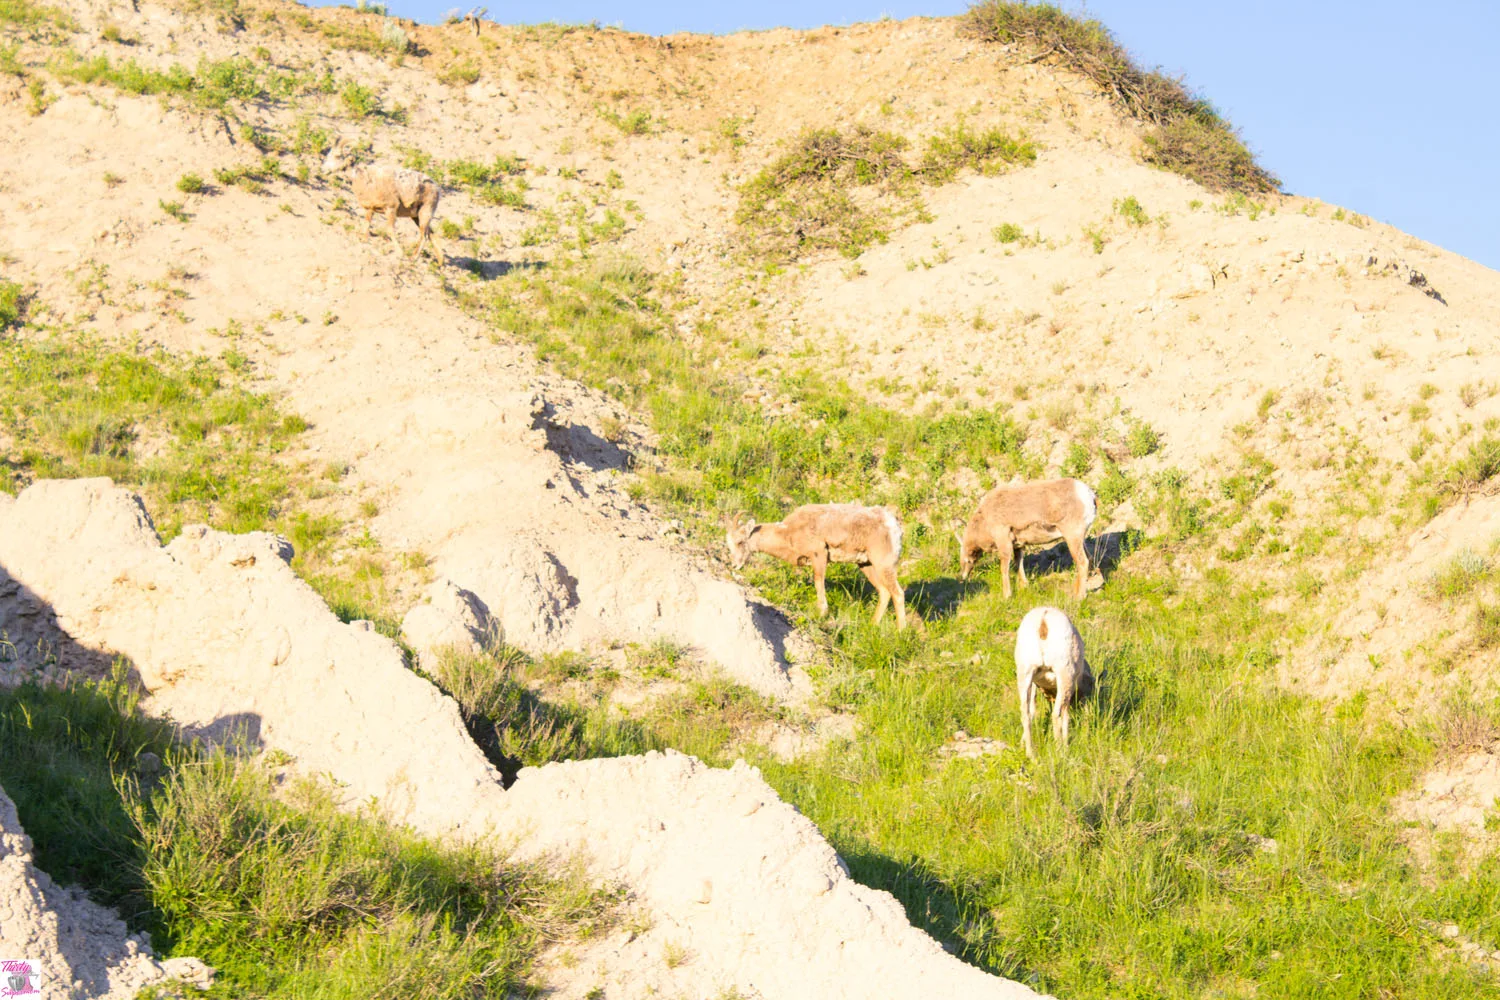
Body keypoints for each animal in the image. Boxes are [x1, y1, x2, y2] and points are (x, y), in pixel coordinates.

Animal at [723, 503, 900, 629]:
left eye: (740, 542)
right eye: (729, 543)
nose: (735, 565)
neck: (789, 532)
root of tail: (894, 526)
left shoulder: (819, 555)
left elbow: (818, 582)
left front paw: (822, 613)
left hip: (883, 564)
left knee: (897, 593)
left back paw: (900, 631)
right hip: (866, 565)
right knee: (885, 592)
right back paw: (872, 625)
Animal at [960, 479, 1104, 599]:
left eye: (967, 561)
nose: (963, 578)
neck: (984, 520)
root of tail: (1090, 496)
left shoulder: (1004, 542)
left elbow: (1004, 568)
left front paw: (1007, 596)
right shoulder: (1018, 545)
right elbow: (1019, 563)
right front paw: (1024, 586)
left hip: (1072, 538)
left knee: (1083, 562)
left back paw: (1079, 597)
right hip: (1079, 539)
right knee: (1090, 559)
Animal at [1014, 602, 1098, 758]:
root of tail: (1044, 619)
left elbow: (1032, 710)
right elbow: (1065, 716)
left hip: (1025, 673)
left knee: (1025, 713)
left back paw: (1030, 754)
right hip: (1063, 672)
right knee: (1056, 714)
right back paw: (1060, 751)